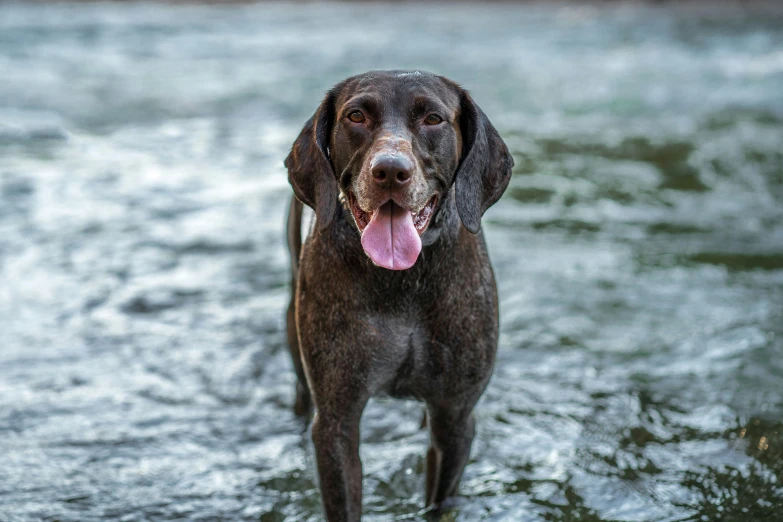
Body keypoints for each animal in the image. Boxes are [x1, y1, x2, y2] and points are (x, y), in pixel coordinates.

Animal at [284, 70, 512, 520]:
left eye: (433, 119)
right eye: (356, 116)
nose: (390, 171)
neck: (400, 282)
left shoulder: (455, 419)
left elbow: (440, 500)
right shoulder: (336, 424)